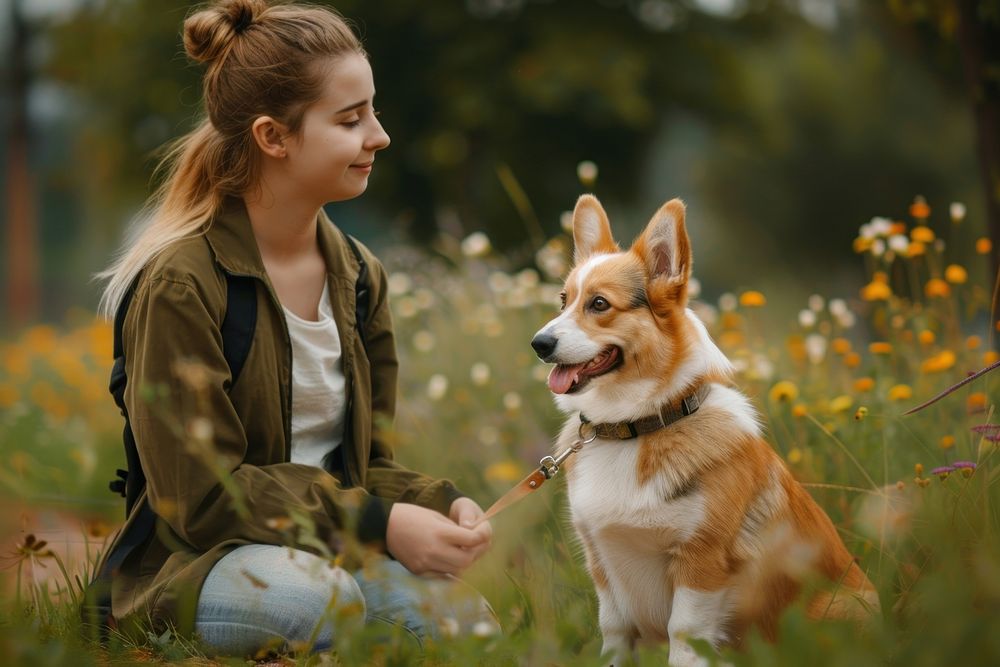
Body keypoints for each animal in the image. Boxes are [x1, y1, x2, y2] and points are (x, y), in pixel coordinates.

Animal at [532, 196, 876, 664]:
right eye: (563, 300)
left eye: (599, 304)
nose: (538, 344)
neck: (633, 426)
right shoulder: (604, 571)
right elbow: (614, 638)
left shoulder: (701, 565)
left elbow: (684, 639)